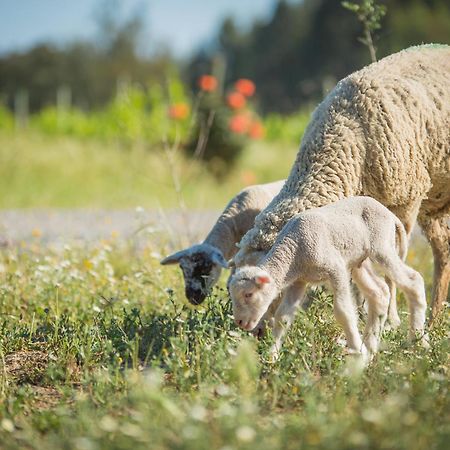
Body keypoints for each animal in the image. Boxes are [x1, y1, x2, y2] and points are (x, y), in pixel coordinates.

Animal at [230, 197, 428, 362]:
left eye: (248, 294)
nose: (239, 322)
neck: (294, 250)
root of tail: (390, 215)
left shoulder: (336, 268)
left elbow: (343, 312)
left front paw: (357, 351)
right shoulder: (299, 281)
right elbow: (282, 317)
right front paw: (272, 356)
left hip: (382, 247)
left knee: (414, 281)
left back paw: (417, 340)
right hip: (359, 261)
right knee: (379, 293)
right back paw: (371, 349)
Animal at [237, 45, 448, 324]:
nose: (256, 329)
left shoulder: (406, 202)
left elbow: (394, 265)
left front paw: (391, 320)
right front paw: (365, 313)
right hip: (435, 204)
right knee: (444, 251)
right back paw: (436, 316)